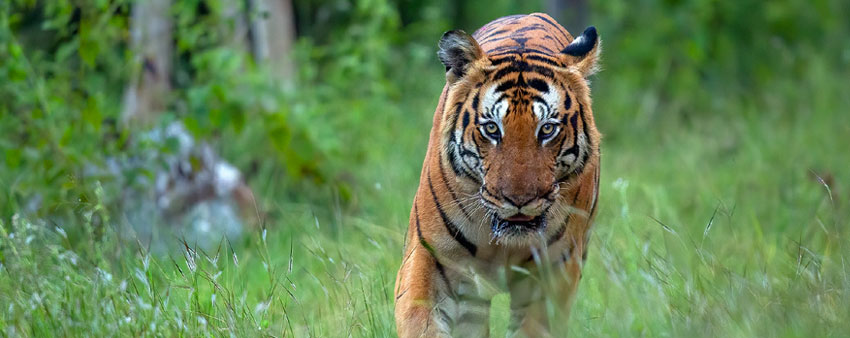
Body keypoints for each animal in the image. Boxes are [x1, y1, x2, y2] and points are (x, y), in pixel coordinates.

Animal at [394, 13, 600, 338]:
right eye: (492, 128)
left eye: (547, 129)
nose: (519, 200)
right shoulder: (429, 256)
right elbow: (420, 320)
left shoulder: (553, 271)